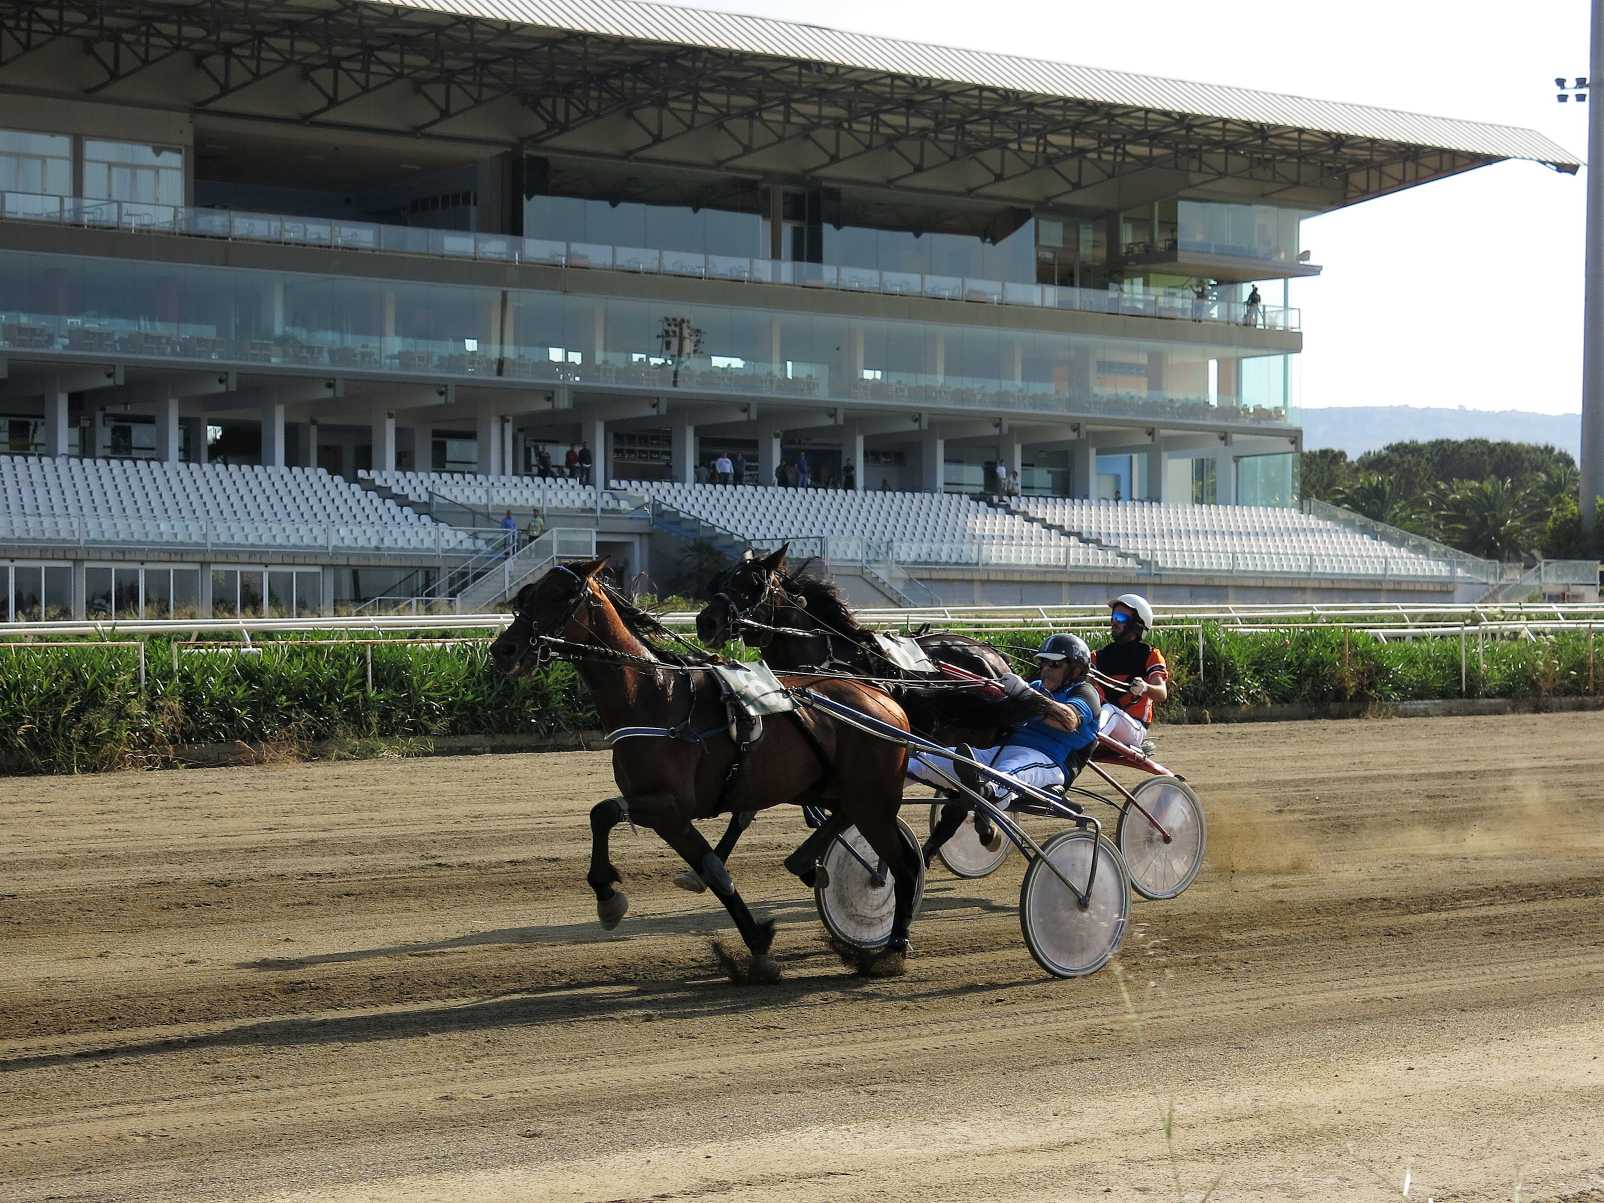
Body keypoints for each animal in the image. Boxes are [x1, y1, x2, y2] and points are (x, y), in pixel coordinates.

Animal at [487, 561, 923, 975]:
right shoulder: (662, 811)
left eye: (561, 595)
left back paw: (892, 948)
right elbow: (709, 867)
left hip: (873, 797)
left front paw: (609, 898)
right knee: (848, 821)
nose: (503, 651)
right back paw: (806, 865)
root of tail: (886, 699)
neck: (649, 695)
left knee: (902, 865)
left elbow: (605, 812)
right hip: (832, 788)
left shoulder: (670, 805)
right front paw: (758, 947)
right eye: (527, 595)